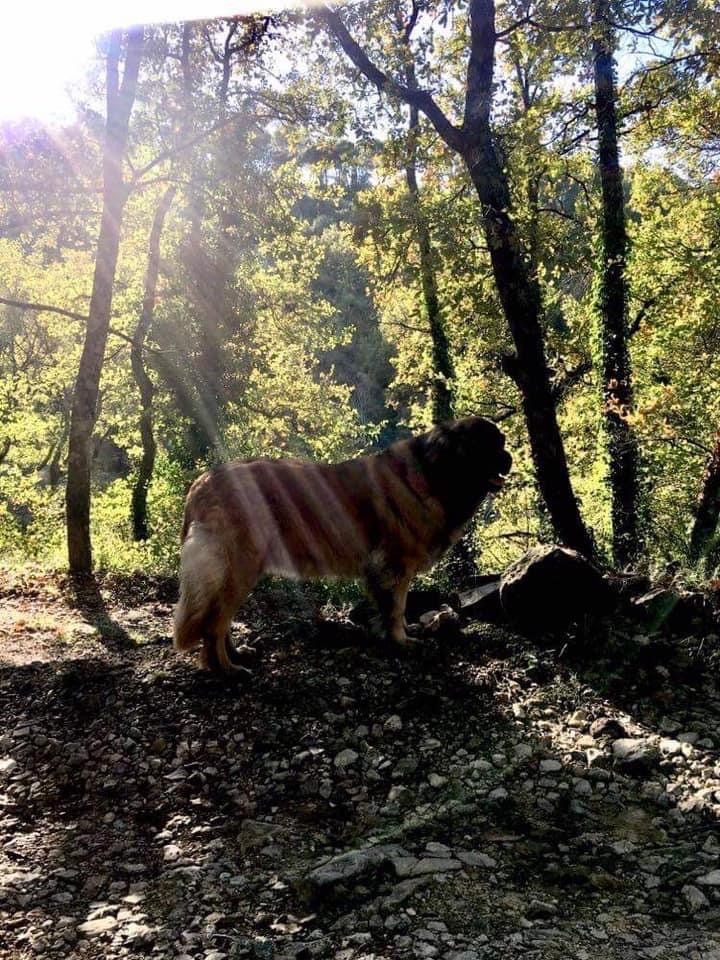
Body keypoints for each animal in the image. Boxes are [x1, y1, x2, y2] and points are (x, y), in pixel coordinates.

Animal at [174, 414, 512, 676]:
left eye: (502, 442)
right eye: (489, 445)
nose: (510, 459)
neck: (435, 474)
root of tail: (201, 483)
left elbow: (392, 608)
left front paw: (394, 635)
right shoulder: (395, 566)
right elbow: (396, 608)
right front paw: (401, 641)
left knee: (219, 619)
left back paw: (235, 655)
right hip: (238, 567)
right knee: (214, 624)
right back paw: (226, 669)